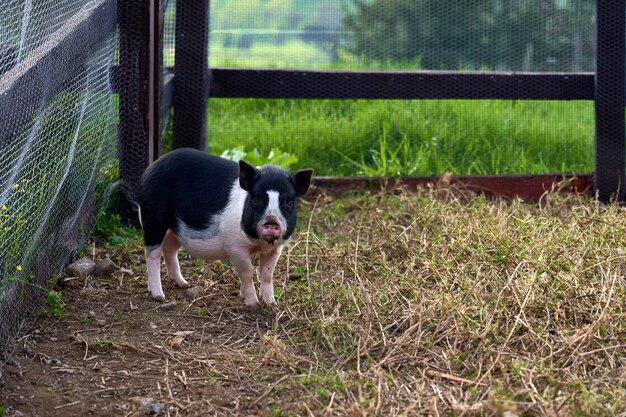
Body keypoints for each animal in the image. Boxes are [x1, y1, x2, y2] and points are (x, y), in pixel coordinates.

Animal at [137, 148, 312, 308]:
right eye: (257, 198)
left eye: (288, 201)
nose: (272, 221)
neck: (258, 243)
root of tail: (149, 170)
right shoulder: (235, 246)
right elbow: (247, 272)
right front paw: (254, 305)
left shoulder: (276, 248)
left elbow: (267, 273)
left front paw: (271, 303)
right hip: (153, 216)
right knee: (152, 253)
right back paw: (159, 296)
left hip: (176, 228)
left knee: (169, 248)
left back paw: (184, 284)